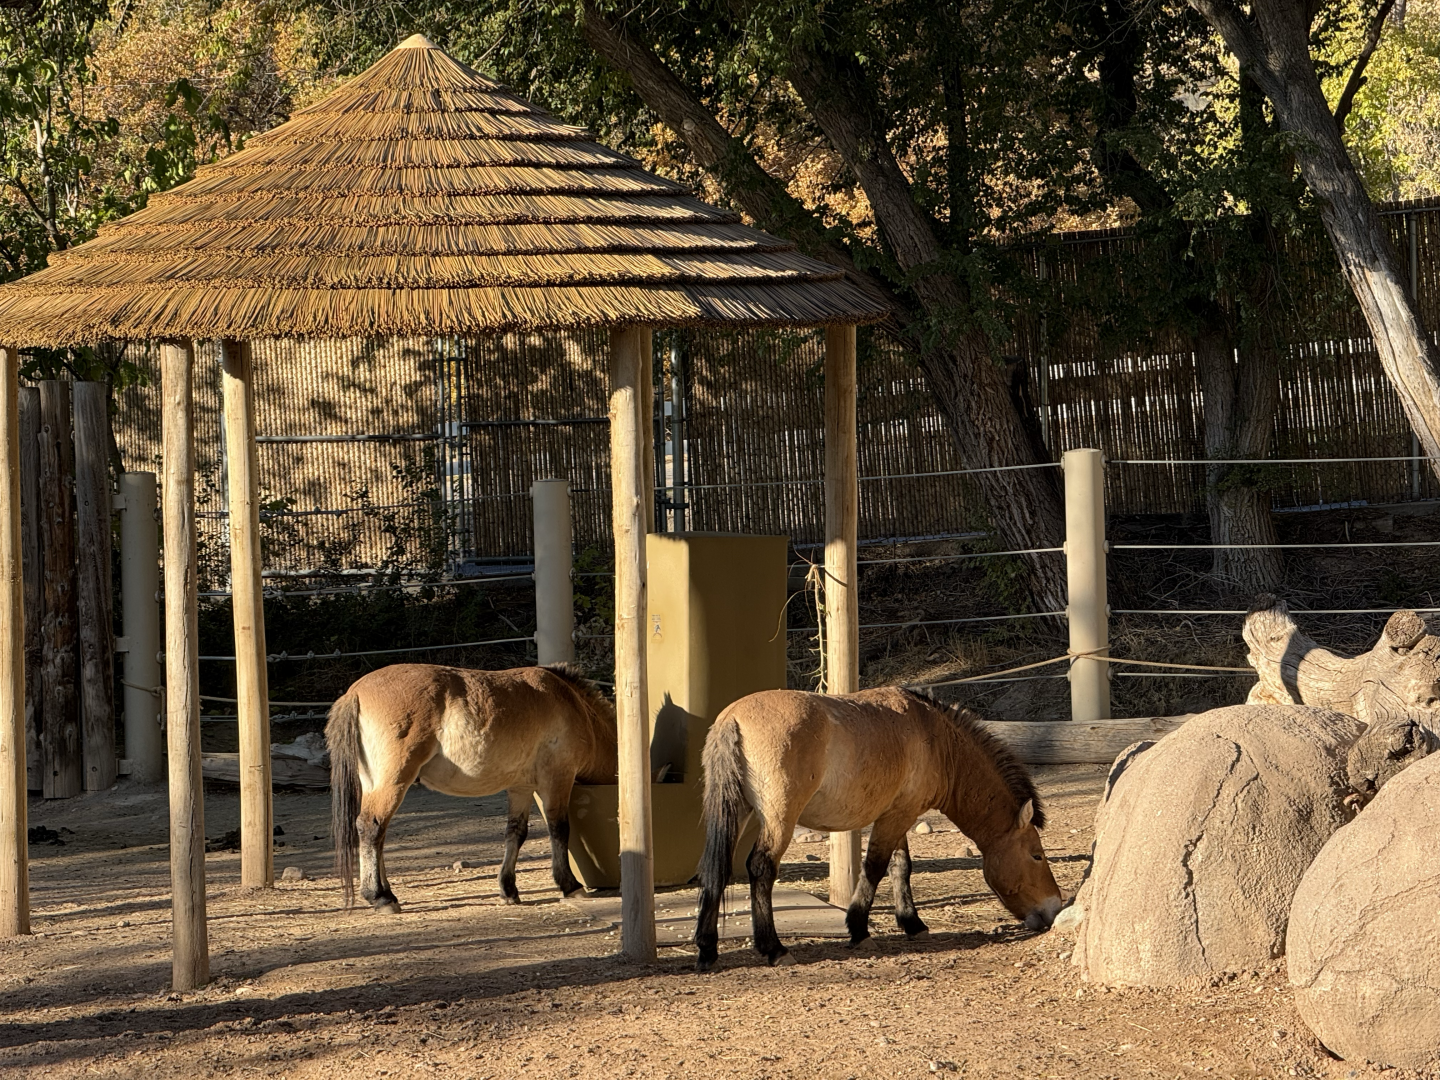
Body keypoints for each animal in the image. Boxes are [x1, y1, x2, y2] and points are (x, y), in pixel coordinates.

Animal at [326, 662, 617, 912]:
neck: (573, 704)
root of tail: (355, 693)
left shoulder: (521, 788)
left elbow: (516, 833)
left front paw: (508, 890)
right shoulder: (557, 779)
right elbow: (559, 829)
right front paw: (570, 885)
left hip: (374, 784)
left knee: (379, 834)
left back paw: (386, 891)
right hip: (394, 782)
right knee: (372, 826)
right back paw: (380, 897)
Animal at [693, 687, 1064, 971]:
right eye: (1037, 855)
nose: (1055, 908)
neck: (936, 737)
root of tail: (733, 718)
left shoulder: (899, 815)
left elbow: (901, 867)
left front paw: (912, 923)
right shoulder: (896, 816)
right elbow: (875, 867)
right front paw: (859, 929)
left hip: (737, 812)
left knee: (717, 870)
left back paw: (707, 949)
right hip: (778, 820)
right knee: (761, 868)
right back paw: (773, 948)